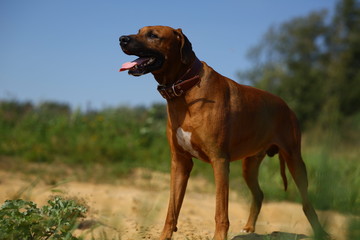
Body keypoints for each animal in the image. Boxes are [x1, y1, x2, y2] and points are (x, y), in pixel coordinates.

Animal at [119, 25, 328, 239]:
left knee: (306, 203)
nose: (122, 39)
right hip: (249, 165)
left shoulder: (219, 160)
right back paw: (249, 228)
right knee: (259, 194)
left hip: (294, 159)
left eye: (153, 35)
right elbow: (172, 209)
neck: (186, 86)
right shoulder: (180, 162)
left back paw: (320, 231)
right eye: (139, 31)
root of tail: (287, 106)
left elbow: (220, 210)